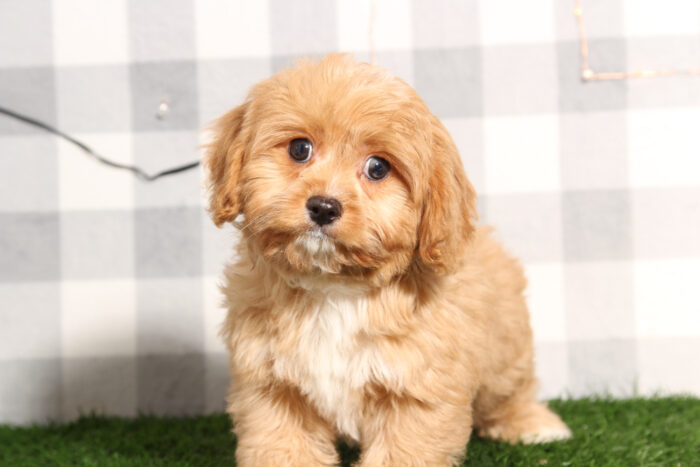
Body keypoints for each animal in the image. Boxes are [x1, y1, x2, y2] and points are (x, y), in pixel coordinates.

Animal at [205, 53, 572, 466]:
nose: (324, 206)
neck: (333, 288)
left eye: (377, 168)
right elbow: (285, 447)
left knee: (510, 389)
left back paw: (532, 424)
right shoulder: (273, 386)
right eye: (300, 149)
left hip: (506, 347)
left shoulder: (416, 391)